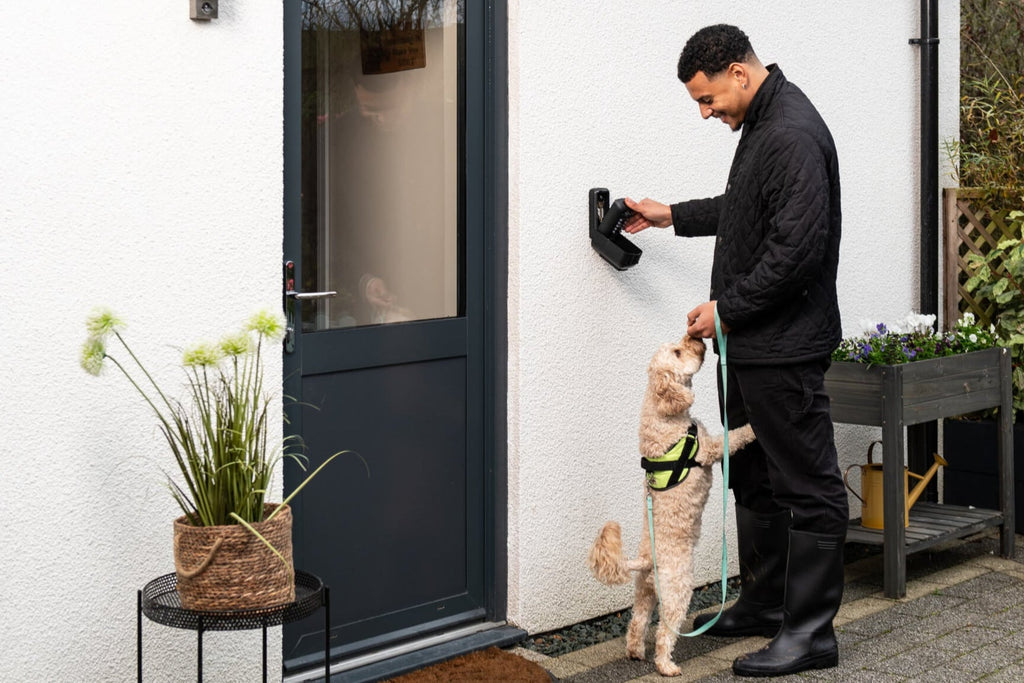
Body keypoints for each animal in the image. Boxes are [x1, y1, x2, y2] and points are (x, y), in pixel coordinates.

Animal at [589, 335, 757, 679]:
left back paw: (635, 652)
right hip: (678, 589)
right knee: (665, 632)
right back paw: (666, 665)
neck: (663, 415)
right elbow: (732, 437)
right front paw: (752, 429)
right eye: (678, 352)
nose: (696, 337)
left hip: (645, 591)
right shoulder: (709, 449)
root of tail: (646, 559)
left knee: (638, 622)